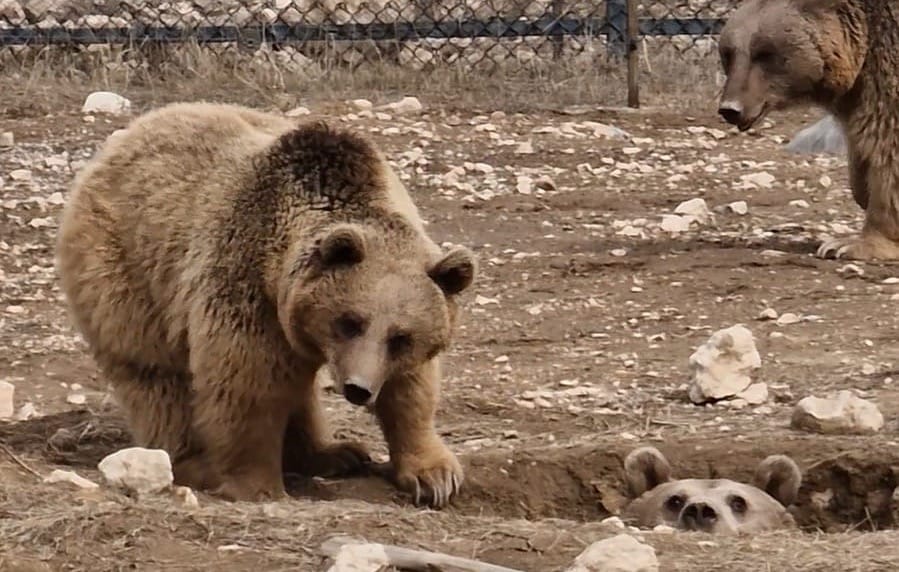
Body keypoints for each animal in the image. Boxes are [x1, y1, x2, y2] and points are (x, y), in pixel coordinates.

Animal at [55, 101, 478, 507]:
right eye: (349, 321)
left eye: (401, 337)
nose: (358, 388)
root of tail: (121, 140)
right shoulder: (245, 285)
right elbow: (247, 386)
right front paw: (256, 484)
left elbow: (409, 390)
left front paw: (435, 477)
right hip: (127, 270)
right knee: (155, 376)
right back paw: (193, 462)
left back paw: (335, 453)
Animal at [716, 0, 899, 261]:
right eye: (728, 53)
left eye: (765, 53)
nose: (730, 109)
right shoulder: (859, 93)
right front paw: (862, 192)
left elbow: (888, 149)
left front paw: (848, 245)